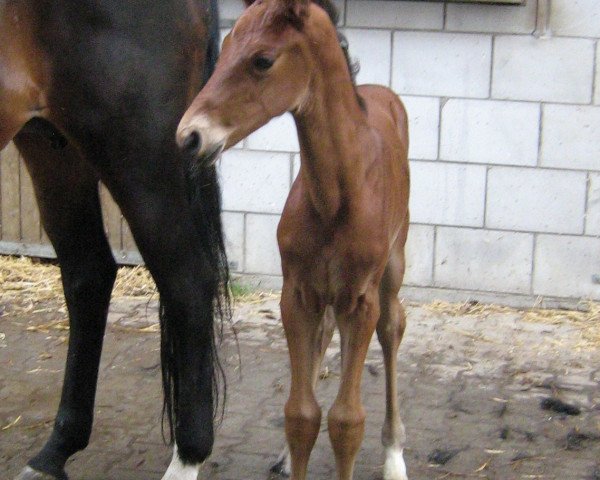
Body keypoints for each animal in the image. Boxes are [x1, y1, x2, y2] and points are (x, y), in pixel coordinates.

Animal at [0, 1, 227, 478]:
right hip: (53, 145)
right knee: (89, 274)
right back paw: (55, 450)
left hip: (136, 150)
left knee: (188, 281)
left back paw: (187, 457)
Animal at [177, 0, 412, 476]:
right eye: (225, 48)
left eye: (263, 60)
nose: (189, 136)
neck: (335, 198)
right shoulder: (298, 293)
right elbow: (301, 414)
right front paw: (291, 449)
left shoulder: (361, 300)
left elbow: (346, 421)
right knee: (325, 335)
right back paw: (287, 456)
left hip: (393, 265)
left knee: (392, 327)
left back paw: (395, 455)